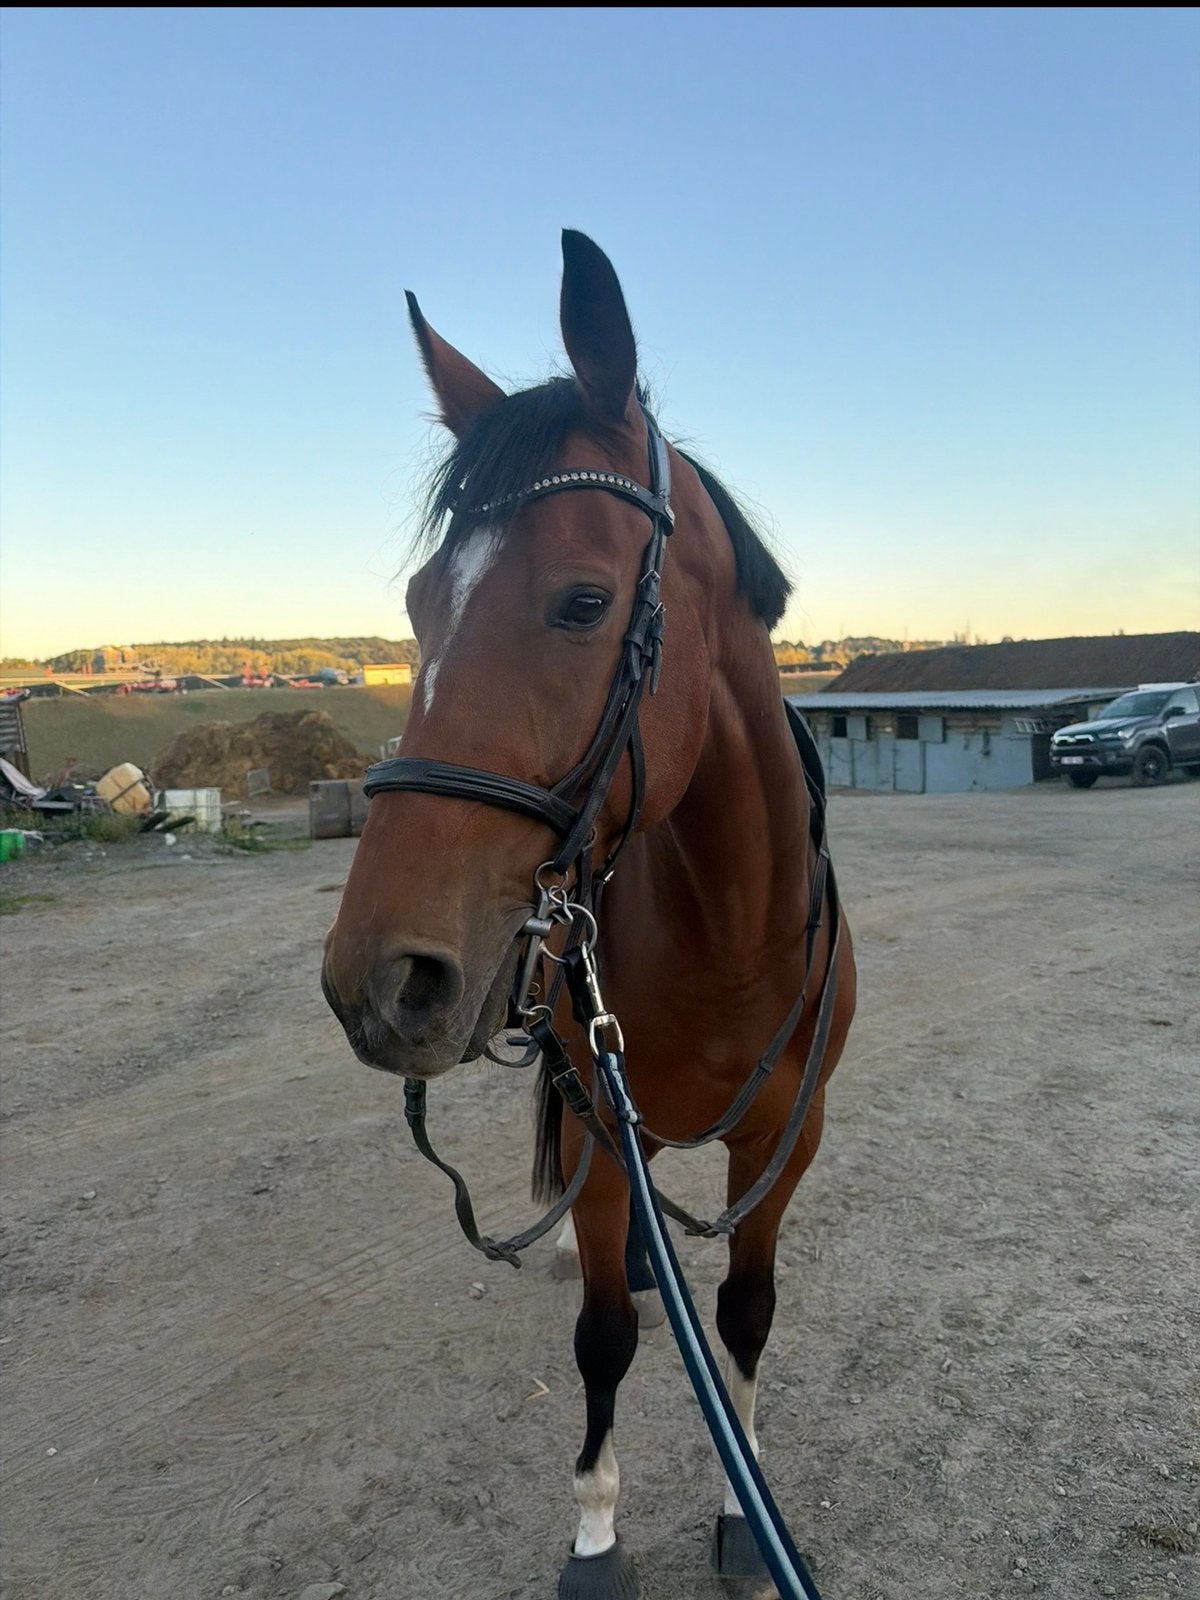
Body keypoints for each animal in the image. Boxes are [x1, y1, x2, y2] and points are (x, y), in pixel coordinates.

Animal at [321, 231, 857, 1599]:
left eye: (580, 601)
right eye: (418, 603)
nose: (375, 979)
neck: (731, 933)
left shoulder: (788, 1141)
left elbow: (746, 1315)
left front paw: (742, 1510)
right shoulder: (609, 1125)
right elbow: (608, 1332)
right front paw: (598, 1533)